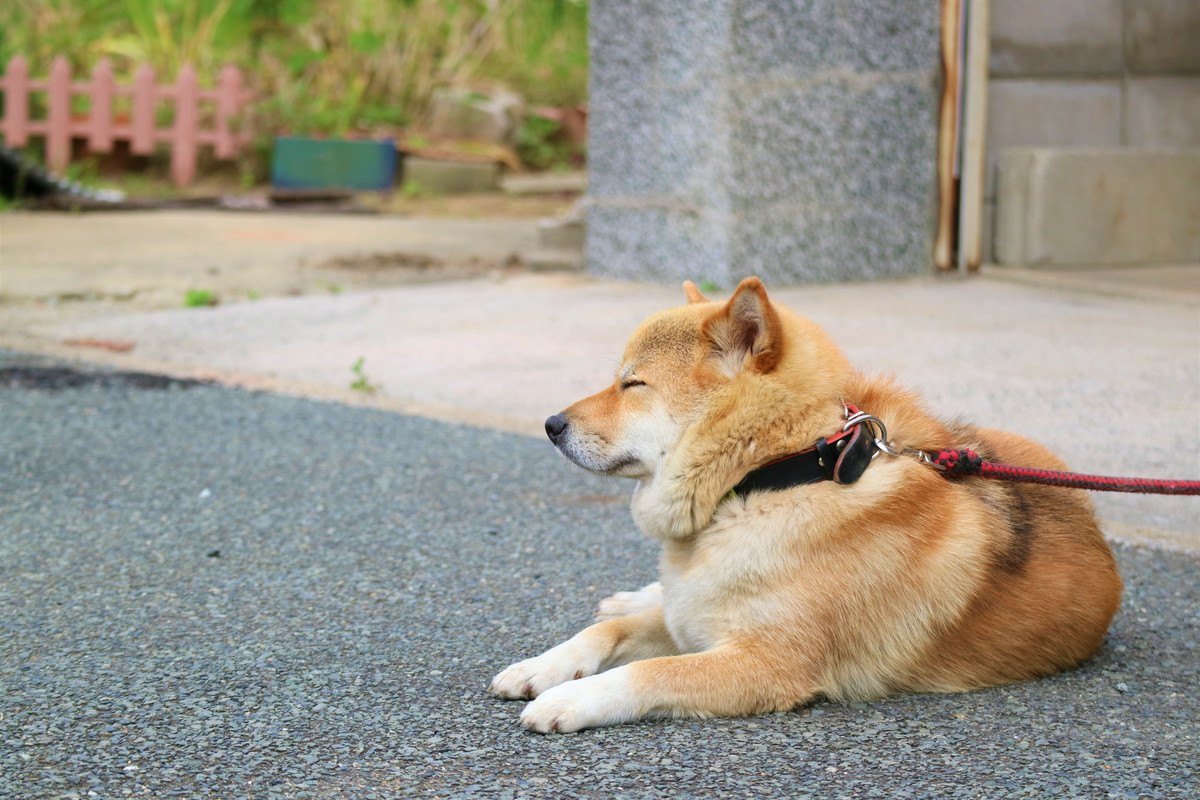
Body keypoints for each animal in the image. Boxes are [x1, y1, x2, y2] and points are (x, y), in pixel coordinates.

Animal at [482, 275, 1118, 734]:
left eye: (632, 385)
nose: (551, 424)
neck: (772, 478)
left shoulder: (765, 662)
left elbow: (646, 671)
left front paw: (571, 697)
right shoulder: (695, 616)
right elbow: (607, 635)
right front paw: (542, 668)